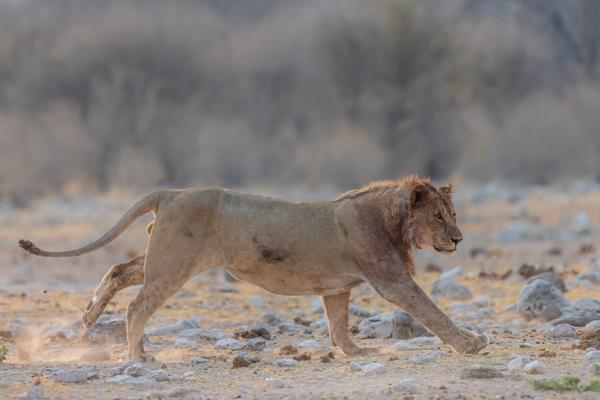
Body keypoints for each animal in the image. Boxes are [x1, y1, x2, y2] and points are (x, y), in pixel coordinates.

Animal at [18, 176, 488, 362]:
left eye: (453, 213)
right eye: (440, 217)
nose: (459, 239)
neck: (392, 221)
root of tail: (170, 192)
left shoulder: (337, 288)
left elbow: (338, 324)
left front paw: (355, 352)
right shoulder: (391, 280)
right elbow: (432, 312)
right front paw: (470, 343)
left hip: (163, 257)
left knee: (119, 269)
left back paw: (89, 316)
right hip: (174, 263)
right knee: (138, 307)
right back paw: (137, 356)